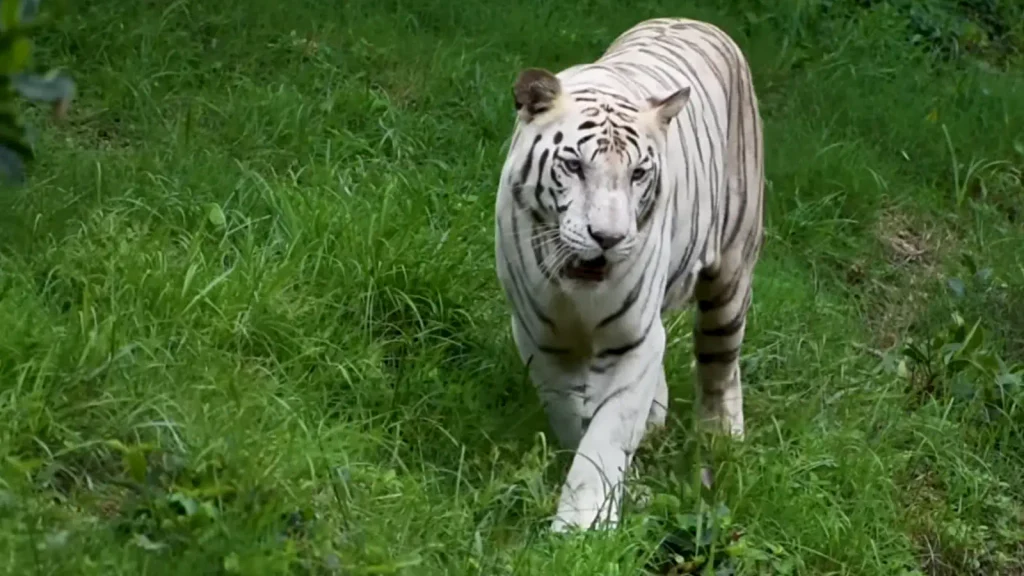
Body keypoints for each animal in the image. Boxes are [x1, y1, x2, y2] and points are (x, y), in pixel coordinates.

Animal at [493, 16, 765, 532]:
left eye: (638, 173)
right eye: (573, 165)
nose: (608, 237)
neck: (575, 293)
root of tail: (700, 22)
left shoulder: (633, 338)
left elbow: (607, 433)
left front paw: (581, 527)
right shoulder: (541, 336)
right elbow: (573, 414)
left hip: (730, 276)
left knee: (720, 368)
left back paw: (722, 442)